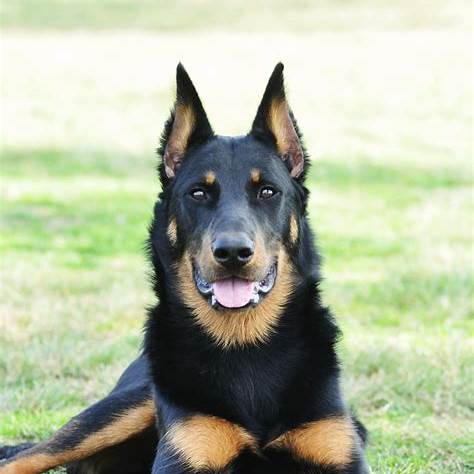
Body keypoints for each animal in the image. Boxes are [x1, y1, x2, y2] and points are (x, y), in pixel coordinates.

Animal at [0, 64, 370, 474]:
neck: (244, 344)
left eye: (268, 191)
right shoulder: (185, 455)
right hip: (122, 409)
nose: (233, 252)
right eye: (198, 193)